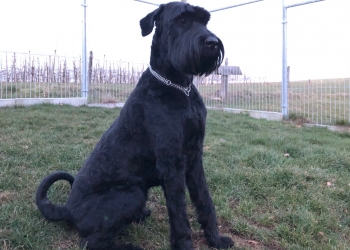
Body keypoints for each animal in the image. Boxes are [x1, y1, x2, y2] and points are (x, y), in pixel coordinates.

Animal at [35, 2, 234, 250]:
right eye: (182, 20)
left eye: (204, 20)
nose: (212, 42)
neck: (180, 87)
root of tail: (68, 210)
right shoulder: (172, 163)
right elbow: (179, 212)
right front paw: (186, 245)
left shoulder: (195, 157)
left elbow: (205, 200)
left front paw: (216, 239)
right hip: (133, 193)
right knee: (91, 241)